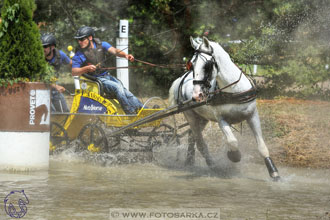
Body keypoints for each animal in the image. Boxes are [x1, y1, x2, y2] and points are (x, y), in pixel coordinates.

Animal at [169, 36, 280, 180]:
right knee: (200, 142)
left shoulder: (252, 115)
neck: (233, 89)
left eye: (207, 65)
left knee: (191, 136)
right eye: (191, 64)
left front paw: (274, 172)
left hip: (202, 118)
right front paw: (234, 156)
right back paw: (213, 165)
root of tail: (180, 80)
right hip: (191, 116)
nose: (196, 95)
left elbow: (261, 146)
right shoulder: (221, 119)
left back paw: (190, 161)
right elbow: (232, 141)